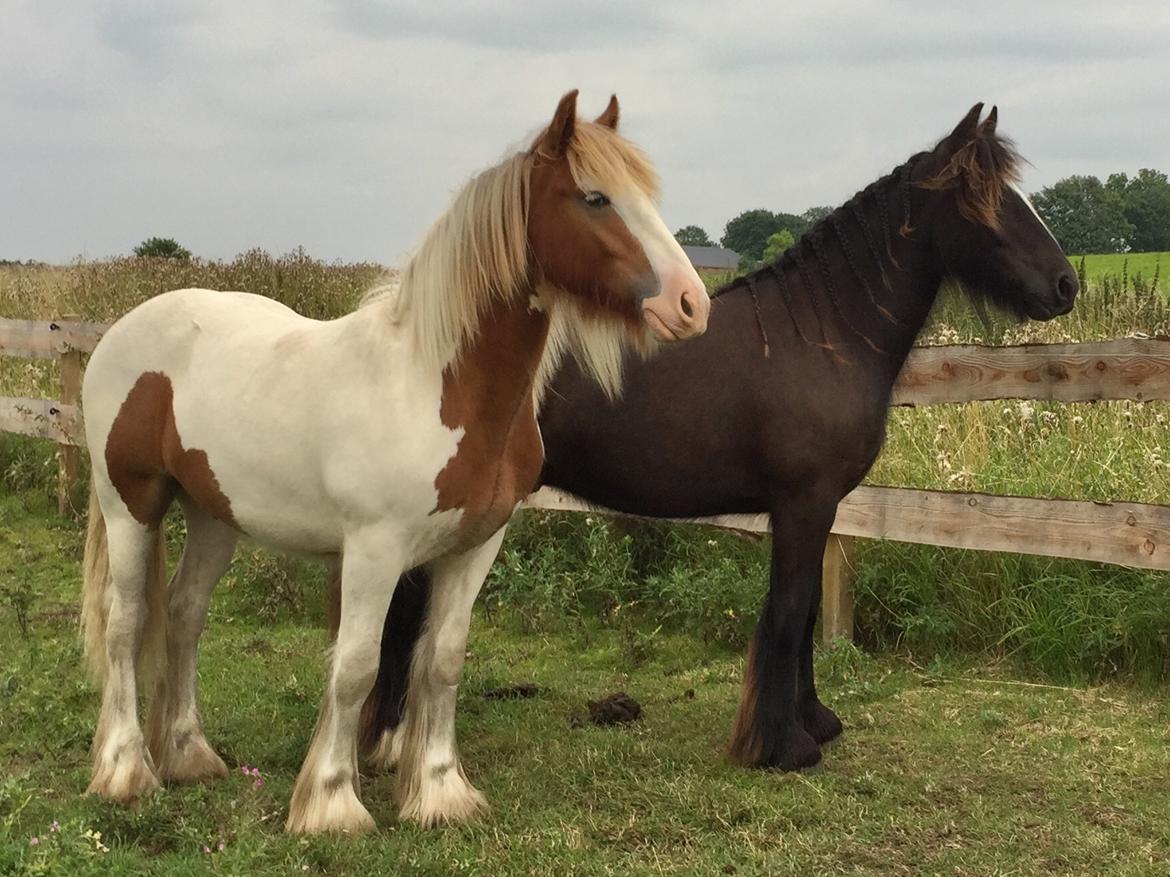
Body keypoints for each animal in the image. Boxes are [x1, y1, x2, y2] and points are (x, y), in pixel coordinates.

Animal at [82, 91, 706, 837]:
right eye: (595, 197)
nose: (691, 303)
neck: (436, 387)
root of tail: (122, 329)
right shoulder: (375, 549)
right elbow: (356, 664)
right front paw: (331, 803)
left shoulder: (476, 546)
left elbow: (441, 660)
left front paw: (438, 791)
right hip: (130, 502)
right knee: (125, 623)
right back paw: (126, 771)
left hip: (214, 514)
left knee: (183, 613)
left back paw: (188, 754)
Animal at [348, 104, 1076, 776]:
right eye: (984, 196)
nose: (1066, 284)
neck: (823, 334)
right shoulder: (804, 502)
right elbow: (789, 611)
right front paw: (784, 746)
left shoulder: (817, 509)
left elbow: (803, 611)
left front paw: (814, 719)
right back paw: (387, 740)